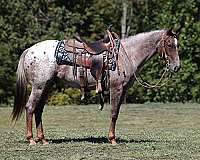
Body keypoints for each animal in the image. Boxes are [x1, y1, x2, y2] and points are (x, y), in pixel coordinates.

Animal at [11, 27, 180, 145]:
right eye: (170, 44)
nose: (177, 67)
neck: (127, 55)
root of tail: (29, 50)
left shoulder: (123, 90)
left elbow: (116, 112)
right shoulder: (116, 88)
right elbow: (114, 113)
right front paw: (112, 139)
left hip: (47, 86)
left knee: (38, 110)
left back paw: (43, 140)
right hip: (39, 86)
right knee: (30, 108)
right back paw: (31, 139)